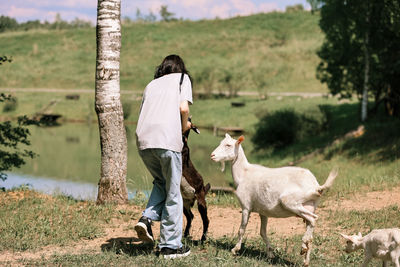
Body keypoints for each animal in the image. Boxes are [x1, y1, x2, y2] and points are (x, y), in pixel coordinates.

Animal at [209, 135, 338, 266]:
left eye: (228, 145)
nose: (212, 155)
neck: (244, 173)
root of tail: (316, 186)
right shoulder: (263, 211)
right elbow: (262, 232)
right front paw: (270, 253)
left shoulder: (246, 206)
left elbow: (242, 229)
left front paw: (235, 249)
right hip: (309, 206)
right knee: (311, 226)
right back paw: (305, 257)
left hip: (291, 201)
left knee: (313, 219)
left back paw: (303, 245)